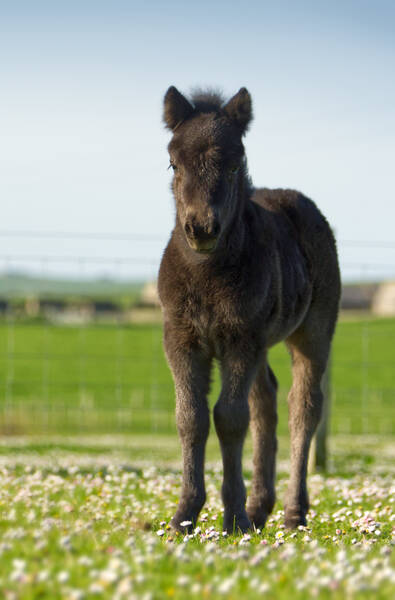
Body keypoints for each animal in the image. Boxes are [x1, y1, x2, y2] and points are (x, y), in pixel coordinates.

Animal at [158, 86, 340, 532]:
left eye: (235, 162)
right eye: (173, 162)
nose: (201, 228)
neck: (206, 274)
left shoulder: (241, 340)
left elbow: (229, 418)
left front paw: (233, 516)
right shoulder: (182, 338)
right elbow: (191, 417)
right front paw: (185, 514)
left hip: (312, 330)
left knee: (303, 407)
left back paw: (292, 512)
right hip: (258, 342)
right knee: (266, 402)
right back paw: (261, 508)